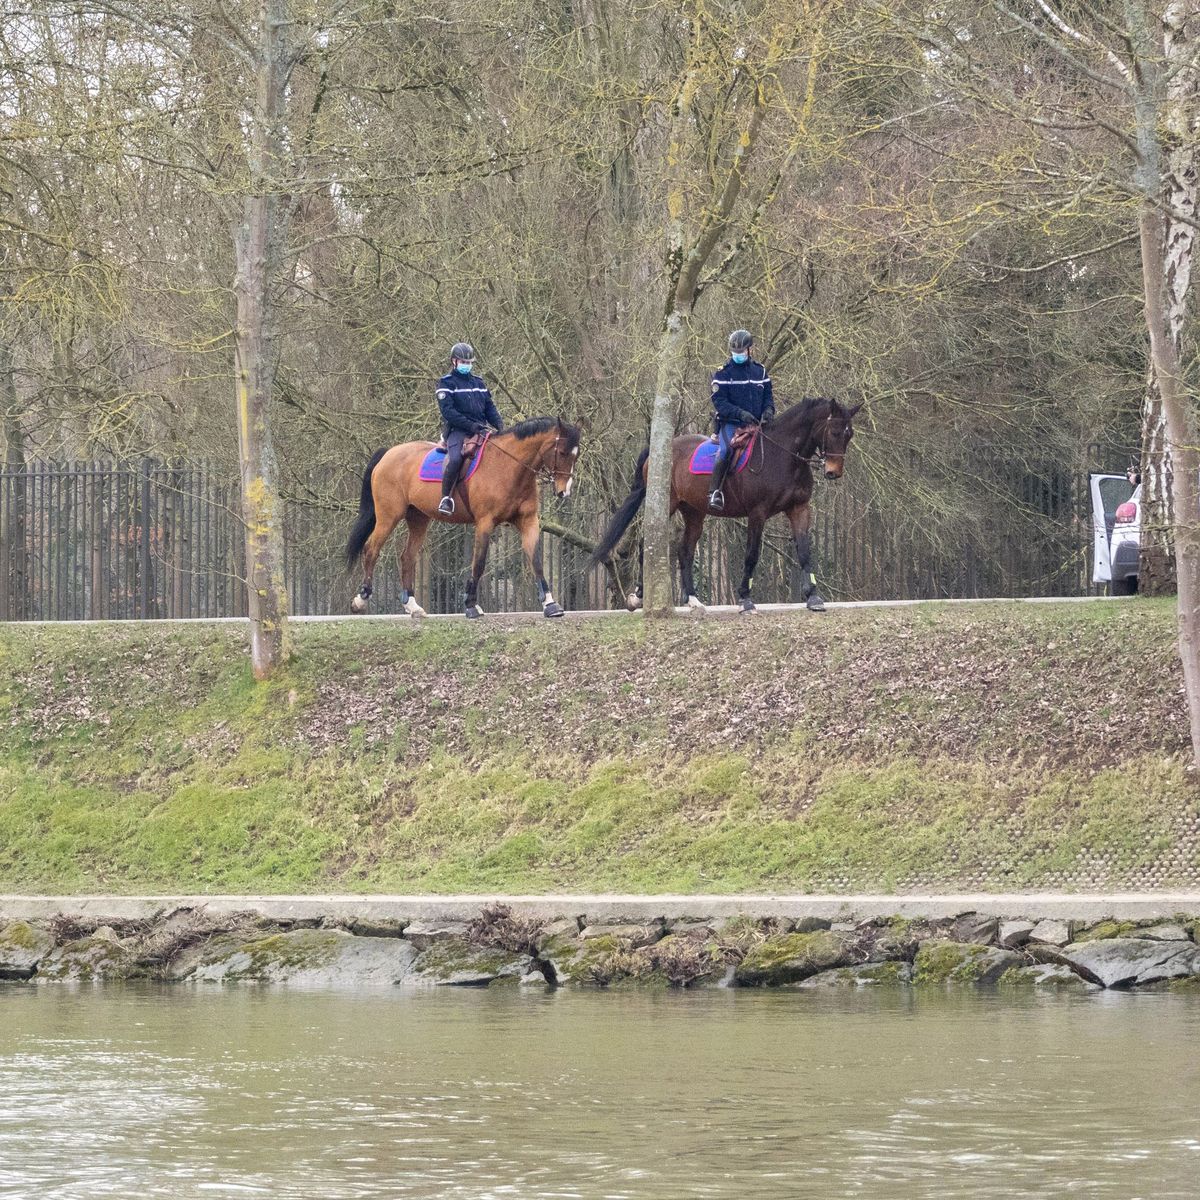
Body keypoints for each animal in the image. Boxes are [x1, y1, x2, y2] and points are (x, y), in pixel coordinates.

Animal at [345, 417, 583, 619]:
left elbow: (536, 561)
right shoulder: (485, 522)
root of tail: (389, 453)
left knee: (407, 557)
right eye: (562, 453)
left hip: (418, 519)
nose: (564, 492)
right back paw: (360, 600)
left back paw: (412, 606)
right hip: (388, 516)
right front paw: (470, 605)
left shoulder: (528, 521)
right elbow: (479, 562)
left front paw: (550, 604)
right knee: (371, 549)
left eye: (576, 455)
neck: (508, 466)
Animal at [592, 398, 864, 614]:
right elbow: (752, 554)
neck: (784, 457)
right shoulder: (757, 513)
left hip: (694, 512)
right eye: (835, 432)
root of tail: (659, 449)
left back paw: (693, 600)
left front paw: (813, 597)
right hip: (666, 503)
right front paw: (745, 599)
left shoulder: (799, 509)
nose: (833, 472)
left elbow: (805, 551)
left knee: (685, 550)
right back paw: (638, 596)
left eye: (849, 434)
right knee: (645, 544)